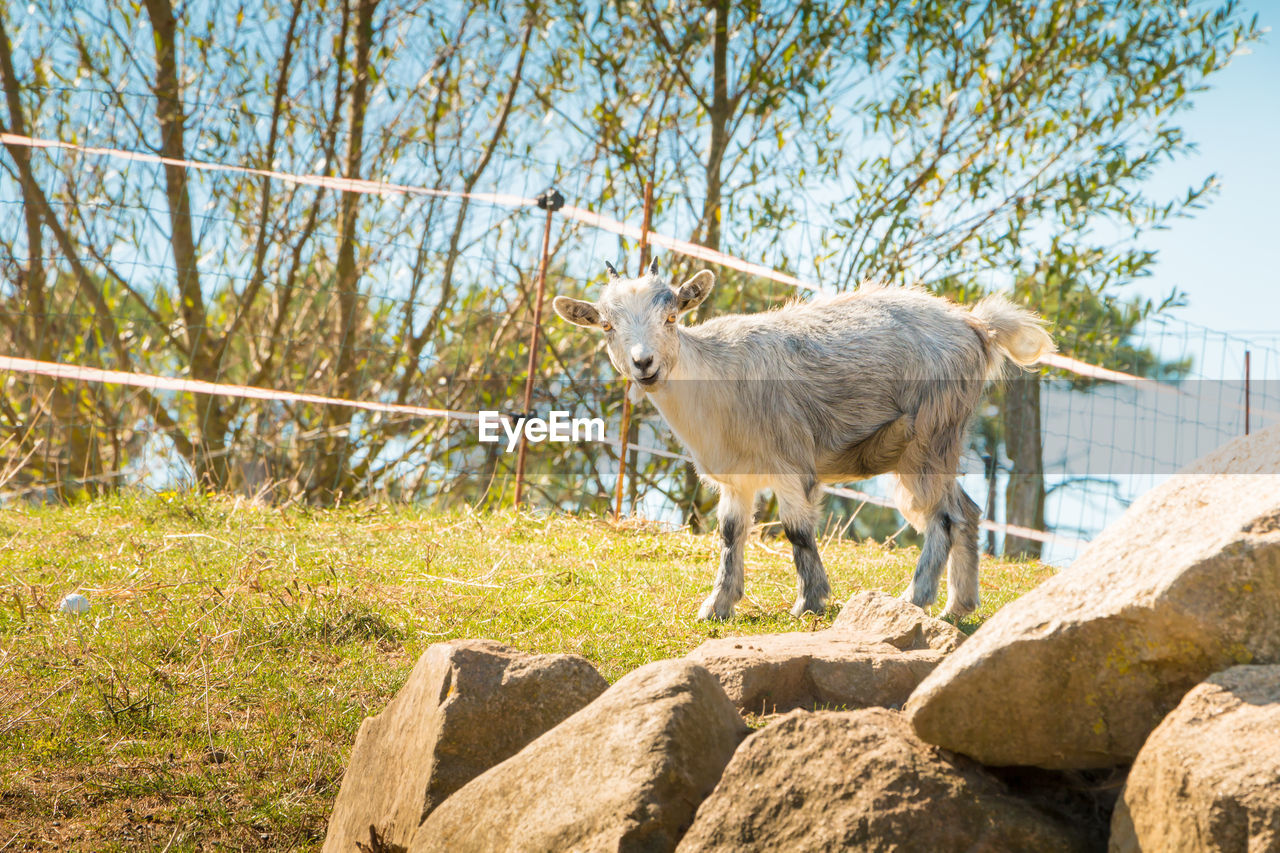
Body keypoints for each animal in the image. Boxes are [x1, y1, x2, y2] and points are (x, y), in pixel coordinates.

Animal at [555, 258, 1054, 617]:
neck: (716, 379)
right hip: (937, 441)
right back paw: (959, 605)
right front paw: (718, 606)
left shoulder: (791, 461)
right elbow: (730, 534)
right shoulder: (737, 479)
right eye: (607, 326)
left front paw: (810, 602)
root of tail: (978, 327)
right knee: (967, 511)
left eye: (673, 316)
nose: (644, 364)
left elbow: (796, 531)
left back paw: (915, 598)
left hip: (930, 434)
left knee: (944, 518)